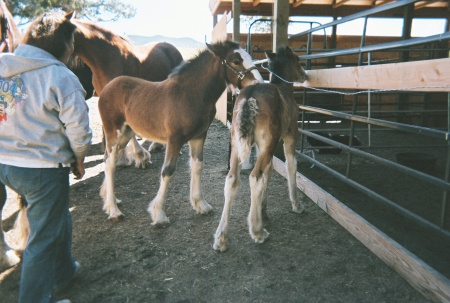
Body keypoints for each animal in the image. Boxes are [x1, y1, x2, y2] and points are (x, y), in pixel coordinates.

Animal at [97, 39, 264, 221]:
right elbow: (168, 170)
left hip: (126, 133)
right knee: (110, 163)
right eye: (236, 61)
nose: (259, 83)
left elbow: (197, 166)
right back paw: (113, 210)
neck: (189, 94)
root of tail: (107, 87)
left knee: (109, 159)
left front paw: (200, 204)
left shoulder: (199, 136)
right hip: (114, 132)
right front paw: (159, 213)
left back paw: (109, 199)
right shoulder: (174, 139)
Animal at [213, 46, 308, 253]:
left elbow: (270, 171)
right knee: (255, 176)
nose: (305, 75)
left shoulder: (260, 146)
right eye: (297, 61)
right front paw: (297, 205)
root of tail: (250, 97)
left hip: (237, 144)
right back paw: (257, 231)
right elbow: (291, 165)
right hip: (268, 142)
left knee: (232, 179)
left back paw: (221, 237)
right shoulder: (289, 136)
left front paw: (263, 210)